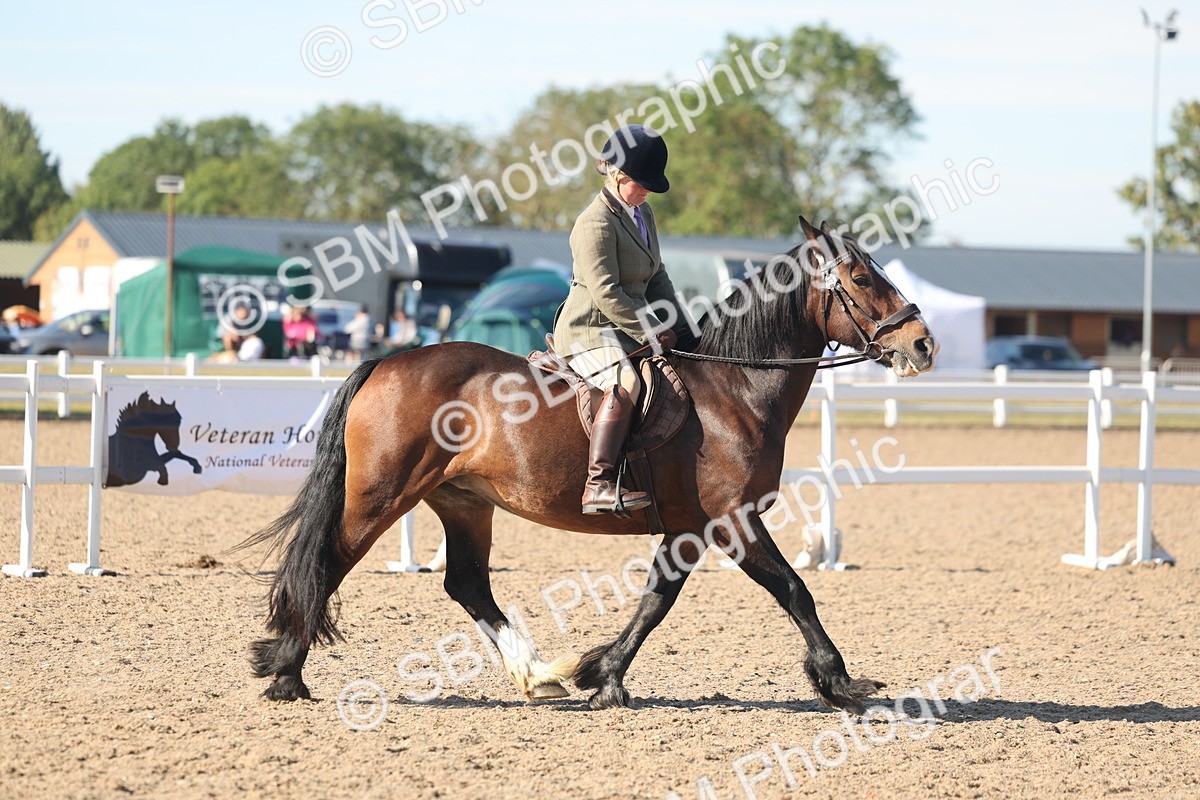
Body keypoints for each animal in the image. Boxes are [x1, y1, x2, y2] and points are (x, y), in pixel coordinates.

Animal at [237, 217, 937, 712]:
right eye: (862, 280)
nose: (923, 343)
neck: (732, 388)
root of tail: (389, 359)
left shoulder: (687, 528)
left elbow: (656, 601)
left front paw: (603, 676)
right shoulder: (731, 521)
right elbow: (794, 589)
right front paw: (840, 682)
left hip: (465, 502)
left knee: (466, 584)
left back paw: (538, 675)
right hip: (381, 496)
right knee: (328, 562)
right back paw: (287, 674)